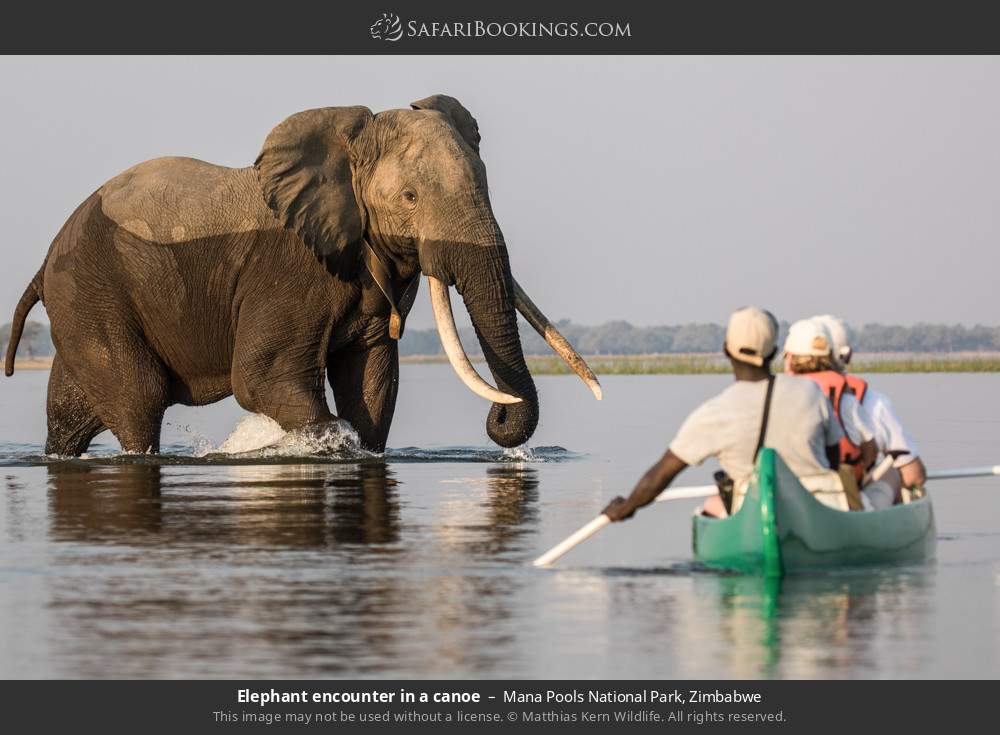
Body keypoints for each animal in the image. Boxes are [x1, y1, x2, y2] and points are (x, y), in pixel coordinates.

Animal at [4, 95, 600, 456]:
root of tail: (44, 263)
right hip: (91, 292)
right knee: (138, 401)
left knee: (72, 412)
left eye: (485, 183)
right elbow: (264, 378)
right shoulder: (288, 270)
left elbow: (372, 381)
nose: (500, 424)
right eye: (410, 197)